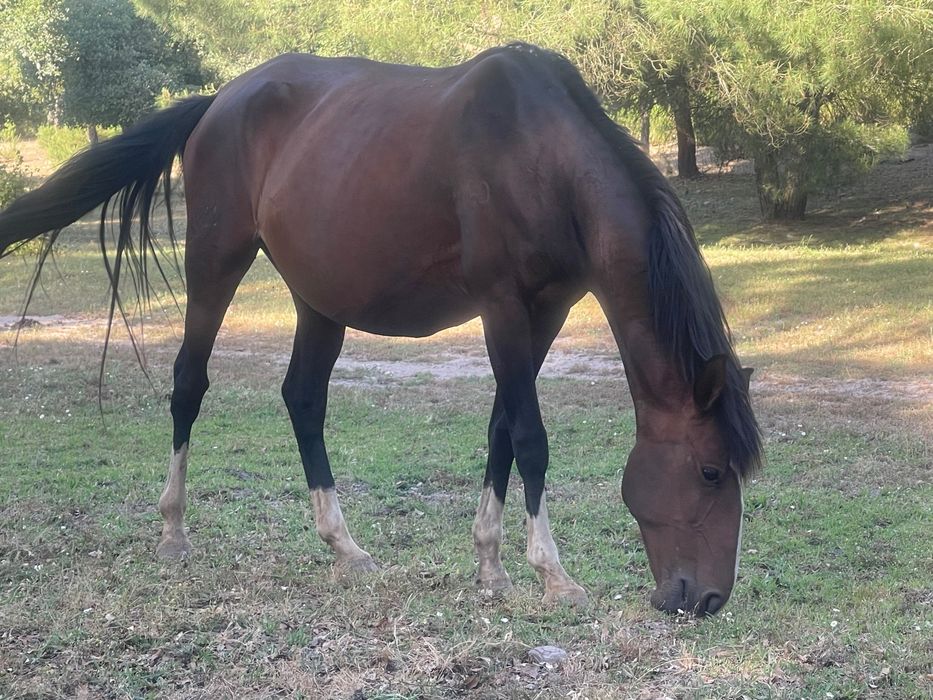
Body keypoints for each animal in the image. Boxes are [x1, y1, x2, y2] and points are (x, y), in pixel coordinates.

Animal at [0, 44, 761, 615]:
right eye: (710, 471)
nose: (707, 599)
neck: (542, 157)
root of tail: (219, 100)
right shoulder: (503, 309)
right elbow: (530, 438)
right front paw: (552, 573)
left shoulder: (545, 314)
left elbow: (499, 433)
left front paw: (490, 567)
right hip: (216, 260)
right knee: (189, 385)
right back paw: (173, 531)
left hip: (318, 299)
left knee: (303, 399)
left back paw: (344, 547)